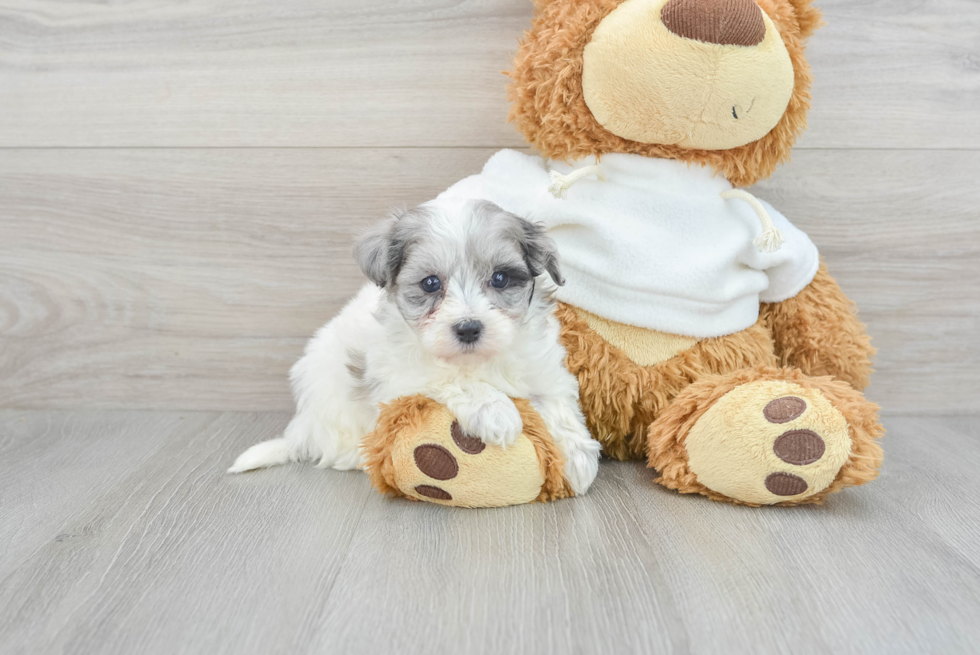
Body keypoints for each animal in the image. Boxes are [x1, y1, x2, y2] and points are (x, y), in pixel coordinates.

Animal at [229, 197, 600, 494]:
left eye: (500, 278)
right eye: (430, 283)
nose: (468, 328)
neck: (475, 359)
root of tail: (302, 429)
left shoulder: (543, 367)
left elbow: (557, 403)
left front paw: (578, 457)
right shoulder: (401, 377)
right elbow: (454, 379)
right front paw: (496, 410)